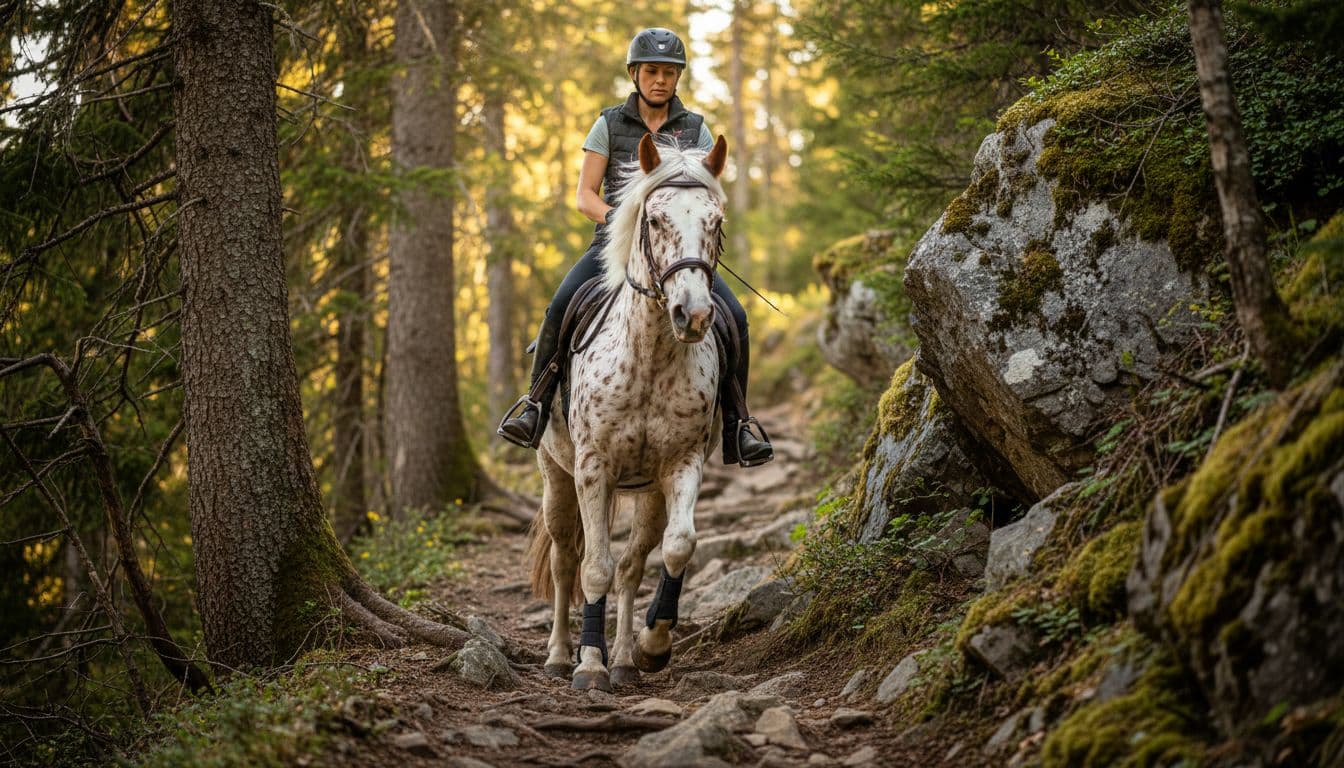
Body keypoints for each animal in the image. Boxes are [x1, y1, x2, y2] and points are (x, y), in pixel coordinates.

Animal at [525, 133, 729, 692]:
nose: (693, 314)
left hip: (648, 492)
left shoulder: (681, 465)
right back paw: (560, 655)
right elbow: (594, 566)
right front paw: (588, 665)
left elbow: (677, 547)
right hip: (556, 475)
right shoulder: (594, 469)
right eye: (655, 220)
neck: (650, 358)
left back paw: (622, 660)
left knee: (633, 566)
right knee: (565, 558)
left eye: (716, 221)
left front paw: (651, 646)